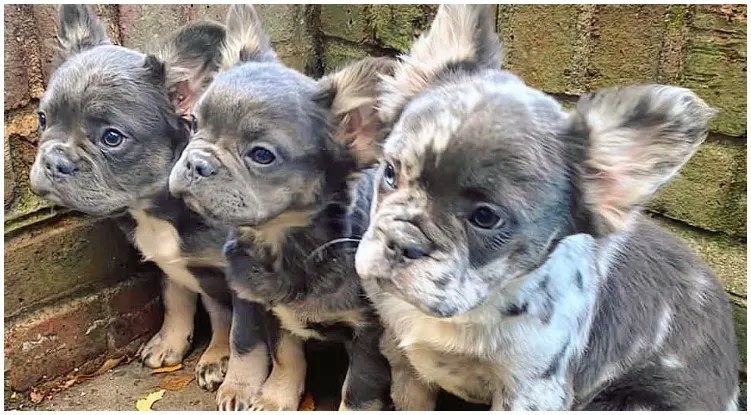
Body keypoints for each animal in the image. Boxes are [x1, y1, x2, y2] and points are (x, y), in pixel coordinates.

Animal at [28, 4, 235, 392]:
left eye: (112, 138)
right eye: (43, 119)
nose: (54, 159)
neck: (155, 208)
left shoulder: (223, 273)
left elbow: (224, 316)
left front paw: (218, 359)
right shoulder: (167, 263)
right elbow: (175, 298)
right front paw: (170, 342)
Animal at [168, 3, 396, 412]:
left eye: (261, 155)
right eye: (194, 124)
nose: (197, 162)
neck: (282, 241)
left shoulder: (369, 335)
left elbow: (358, 389)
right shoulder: (259, 304)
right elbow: (274, 351)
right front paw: (267, 395)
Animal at [354, 3, 740, 412]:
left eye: (486, 218)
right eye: (390, 172)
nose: (400, 242)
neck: (476, 308)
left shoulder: (530, 392)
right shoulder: (407, 367)